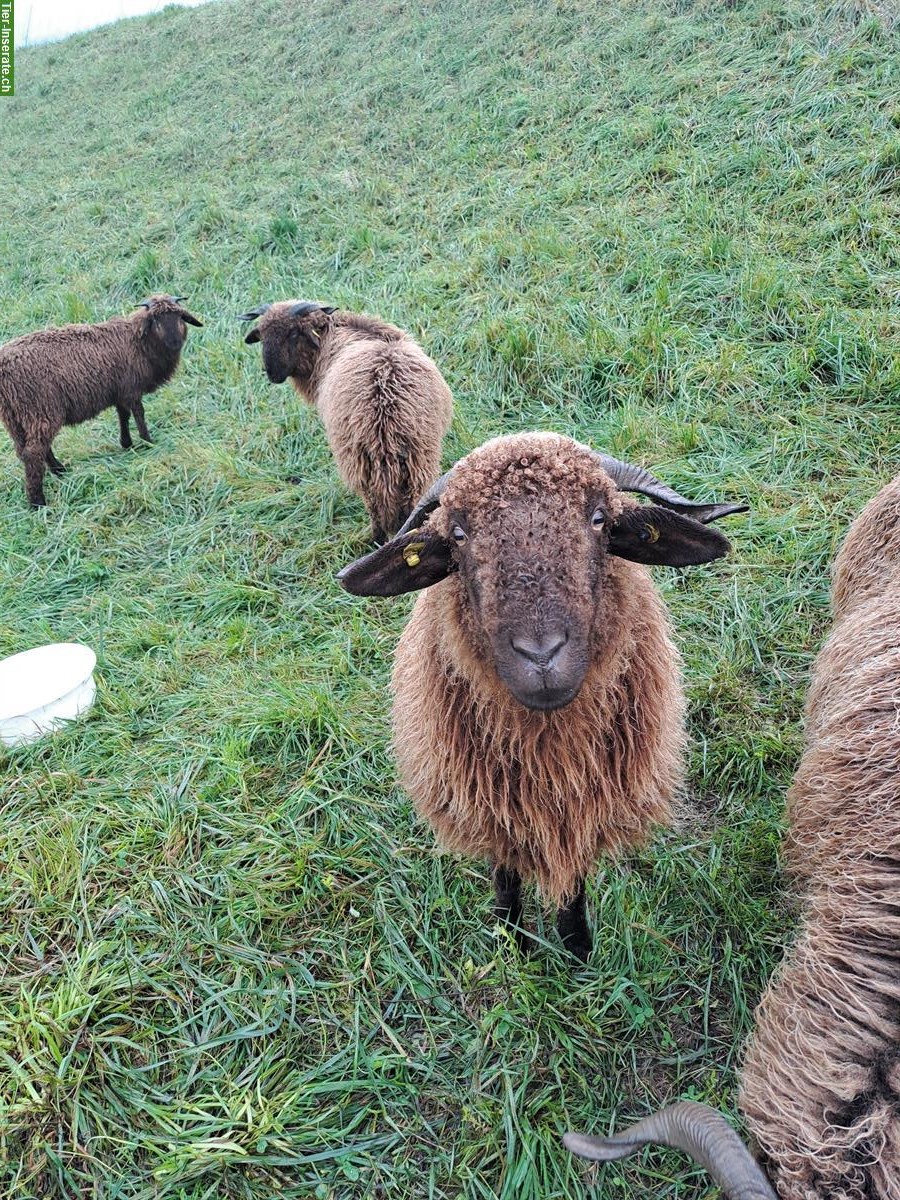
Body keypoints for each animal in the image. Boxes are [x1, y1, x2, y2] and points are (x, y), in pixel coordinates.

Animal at [0, 300, 202, 511]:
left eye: (180, 316)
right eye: (155, 320)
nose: (175, 342)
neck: (137, 341)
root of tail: (4, 369)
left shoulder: (120, 392)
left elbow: (123, 415)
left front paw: (126, 443)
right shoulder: (131, 388)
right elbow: (139, 413)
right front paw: (148, 441)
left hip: (14, 419)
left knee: (27, 451)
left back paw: (59, 471)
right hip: (40, 409)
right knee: (33, 453)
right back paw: (38, 502)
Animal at [237, 300, 453, 544]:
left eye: (293, 333)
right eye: (262, 334)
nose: (272, 373)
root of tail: (385, 421)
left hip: (358, 461)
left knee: (373, 506)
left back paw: (377, 538)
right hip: (418, 460)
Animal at [338, 436, 748, 960]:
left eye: (600, 518)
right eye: (457, 534)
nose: (542, 656)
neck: (547, 754)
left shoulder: (585, 812)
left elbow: (573, 888)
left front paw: (577, 953)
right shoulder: (491, 809)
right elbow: (506, 877)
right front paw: (511, 942)